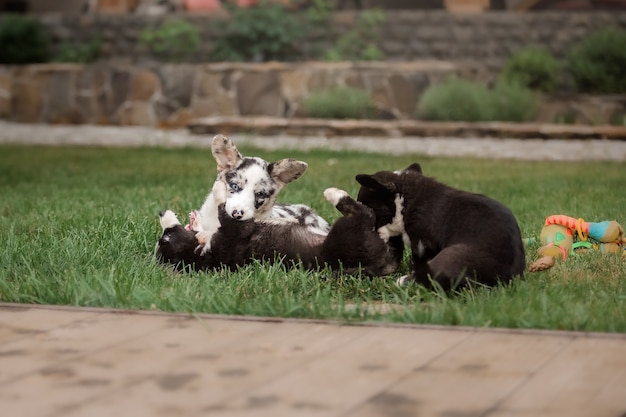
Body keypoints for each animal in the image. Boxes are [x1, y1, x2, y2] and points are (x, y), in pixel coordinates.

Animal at [354, 162, 524, 290]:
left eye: (368, 209)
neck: (405, 196)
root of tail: (502, 281)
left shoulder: (422, 243)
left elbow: (418, 260)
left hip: (452, 255)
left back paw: (403, 281)